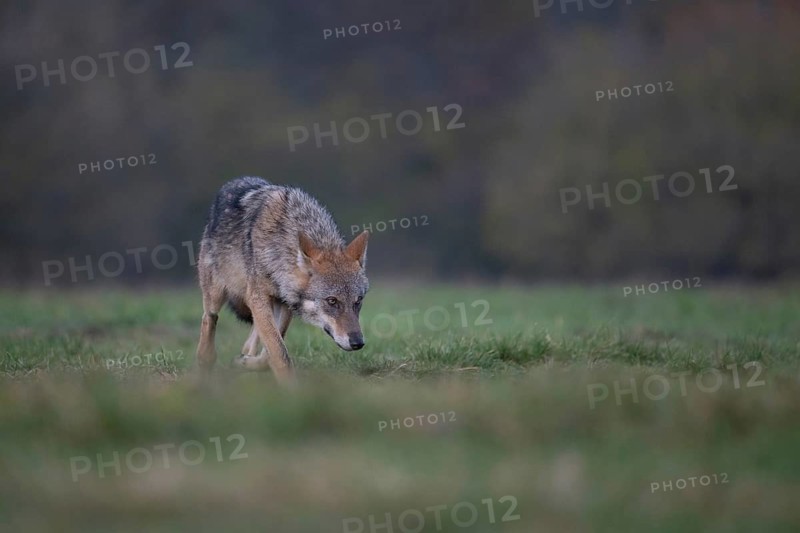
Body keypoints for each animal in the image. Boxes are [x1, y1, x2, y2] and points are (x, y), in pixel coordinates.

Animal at [194, 176, 369, 384]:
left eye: (358, 301)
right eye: (332, 301)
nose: (358, 342)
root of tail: (234, 182)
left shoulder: (284, 302)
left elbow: (270, 351)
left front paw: (244, 362)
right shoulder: (258, 298)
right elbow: (279, 352)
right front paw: (291, 389)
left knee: (249, 342)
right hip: (216, 295)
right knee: (209, 319)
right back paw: (204, 363)